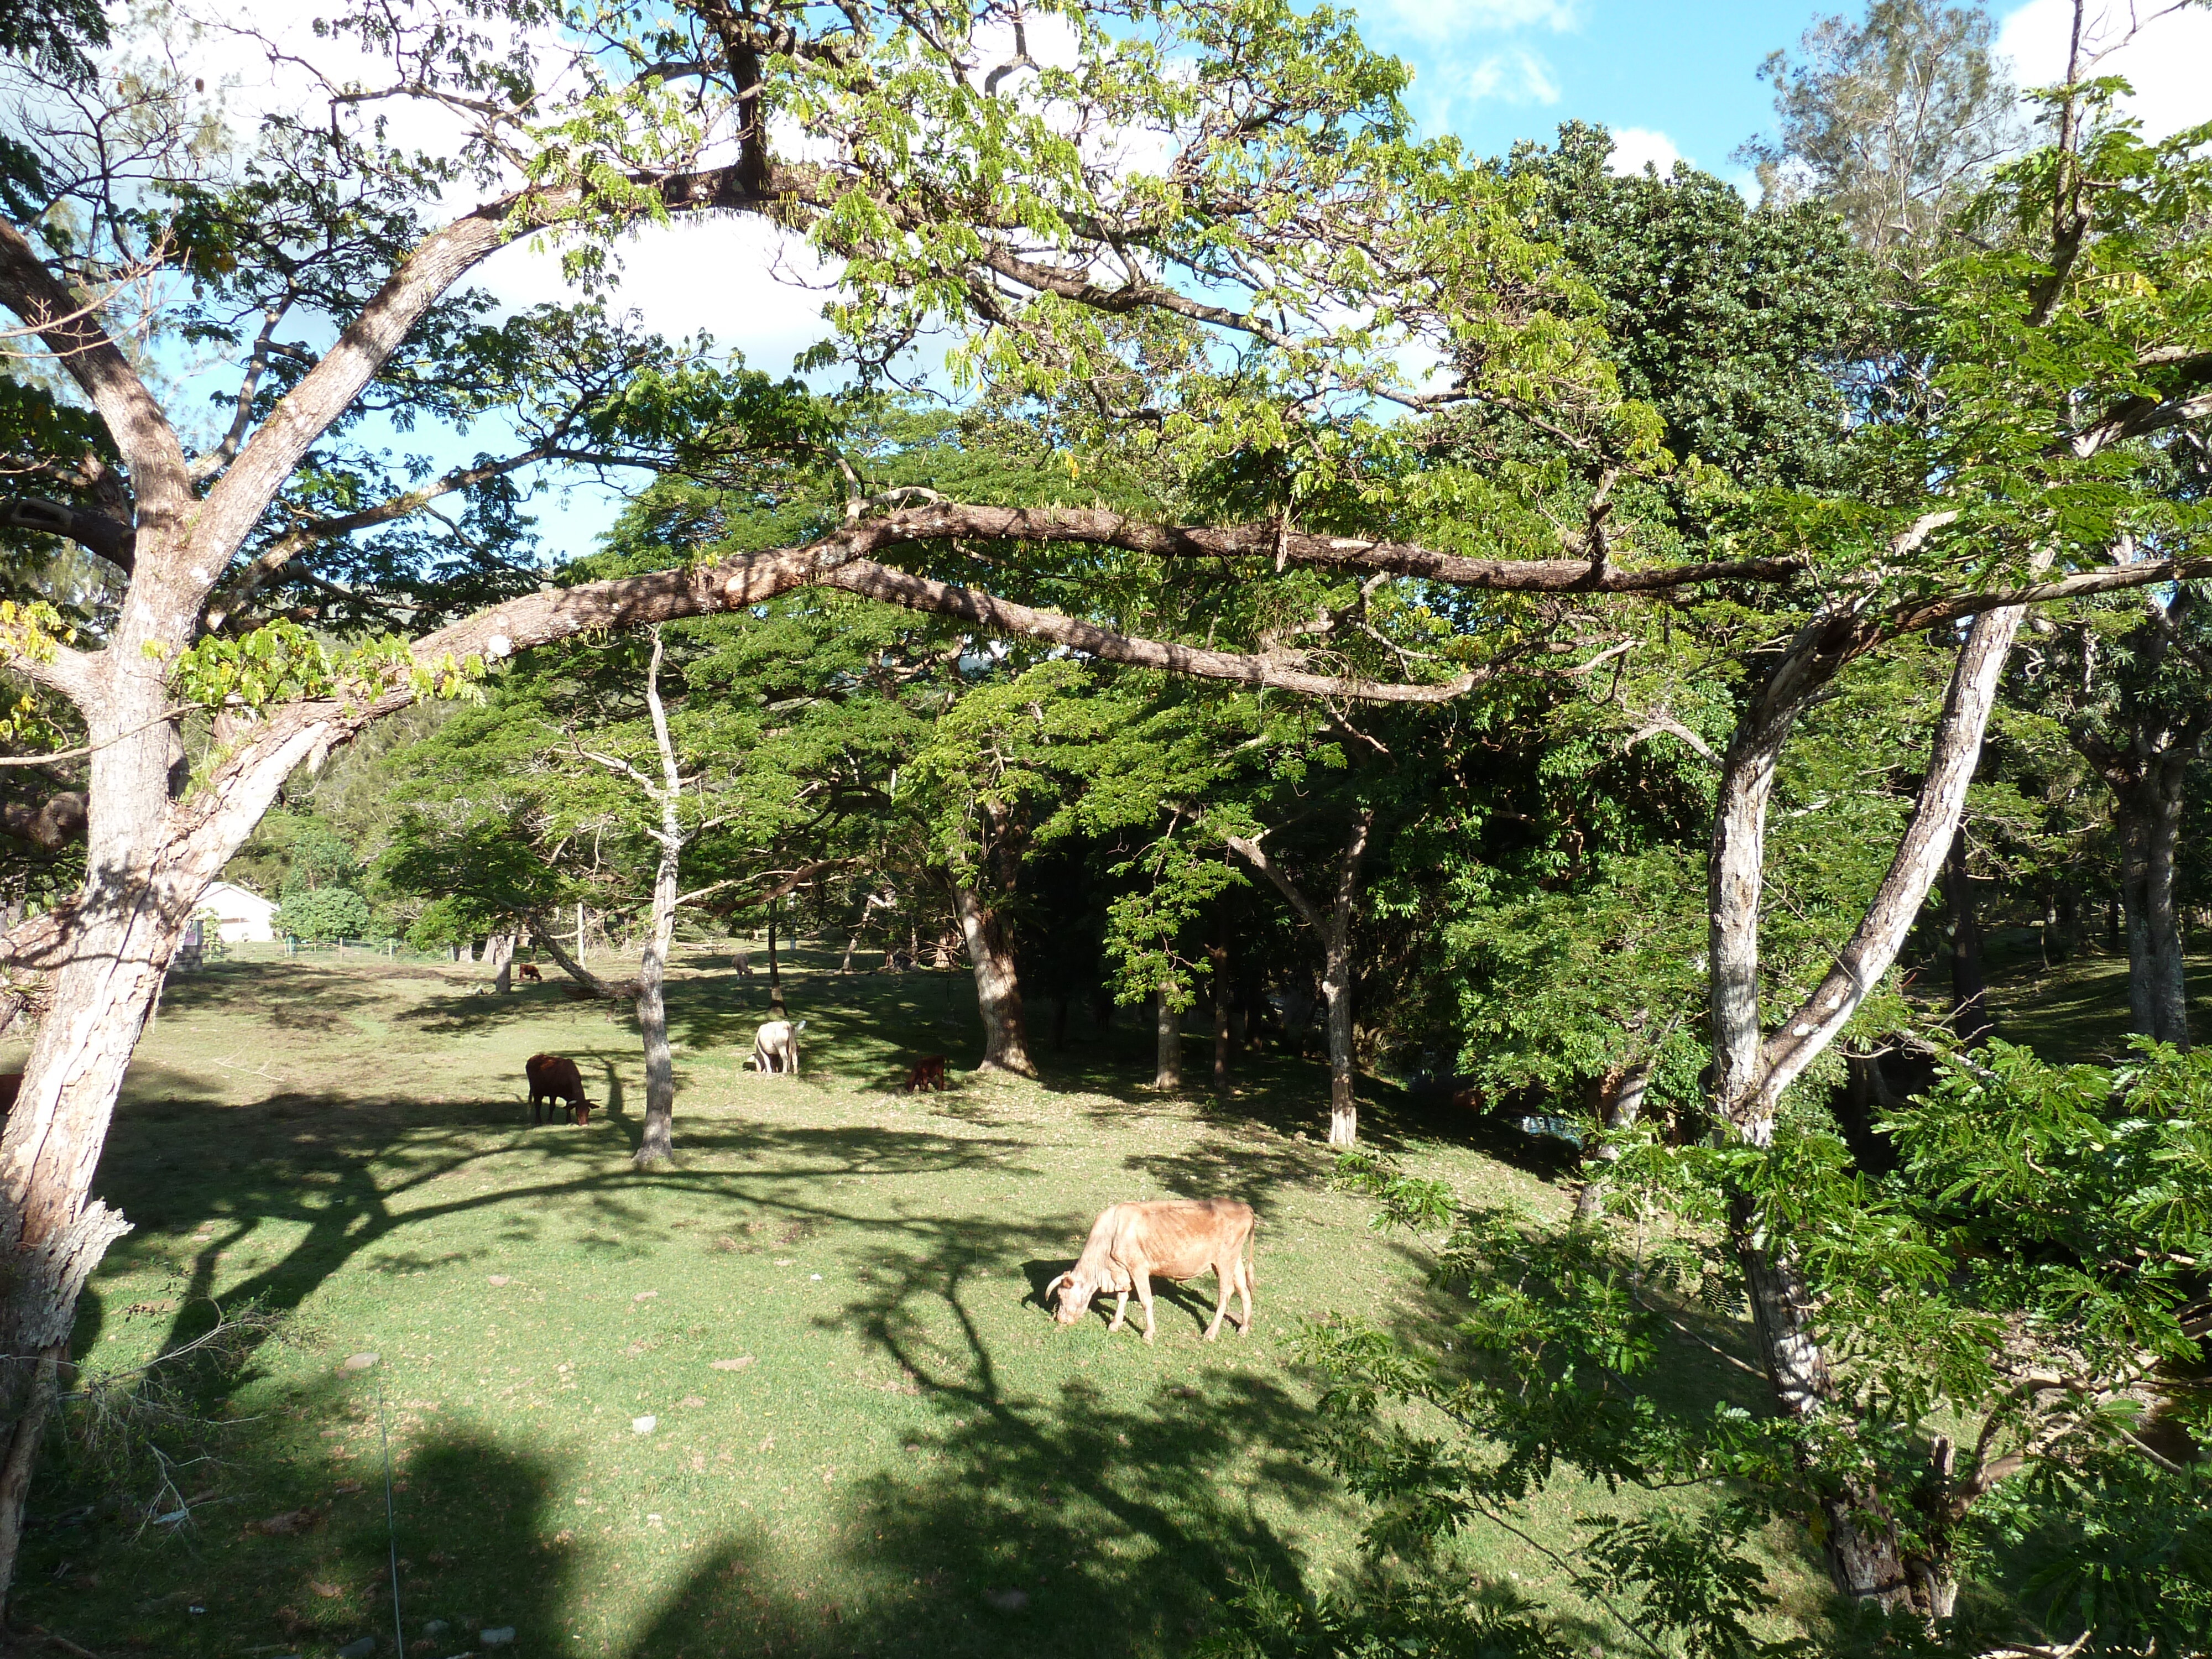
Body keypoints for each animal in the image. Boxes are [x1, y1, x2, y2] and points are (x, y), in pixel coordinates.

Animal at [520, 1053, 584, 1133]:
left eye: (588, 1111)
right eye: (578, 1113)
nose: (584, 1124)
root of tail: (532, 1058)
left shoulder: (569, 1097)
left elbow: (568, 1107)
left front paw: (569, 1121)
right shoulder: (553, 1094)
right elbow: (552, 1107)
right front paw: (550, 1121)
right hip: (536, 1091)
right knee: (538, 1104)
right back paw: (538, 1121)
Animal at [1044, 1203, 1256, 1345]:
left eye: (1061, 1295)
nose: (1060, 1319)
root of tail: (1244, 1207)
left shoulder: (1138, 1268)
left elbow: (1146, 1301)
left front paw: (1148, 1333)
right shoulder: (1123, 1270)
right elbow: (1122, 1297)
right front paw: (1115, 1324)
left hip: (1224, 1261)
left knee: (1226, 1294)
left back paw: (1211, 1333)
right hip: (1235, 1261)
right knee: (1244, 1290)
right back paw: (1244, 1328)